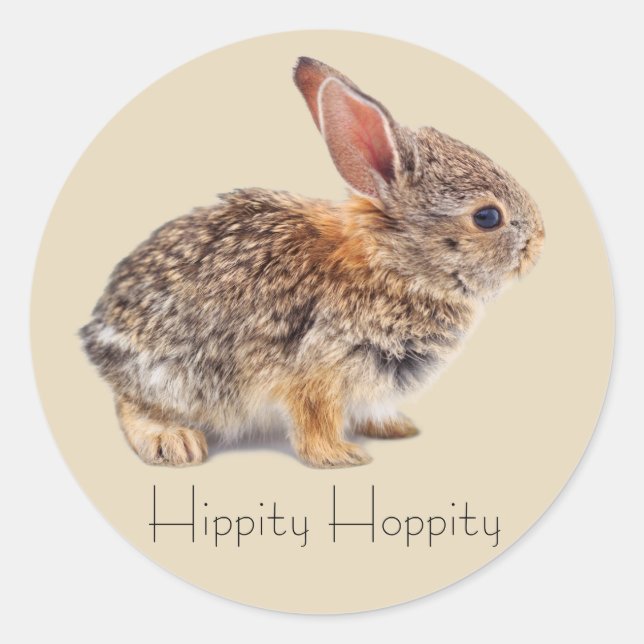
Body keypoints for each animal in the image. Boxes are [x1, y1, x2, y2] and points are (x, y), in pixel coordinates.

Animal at [80, 56, 544, 468]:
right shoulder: (318, 370)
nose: (539, 242)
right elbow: (315, 420)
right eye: (488, 217)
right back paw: (173, 441)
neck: (393, 264)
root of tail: (98, 331)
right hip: (175, 377)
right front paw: (340, 457)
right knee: (132, 405)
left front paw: (394, 427)